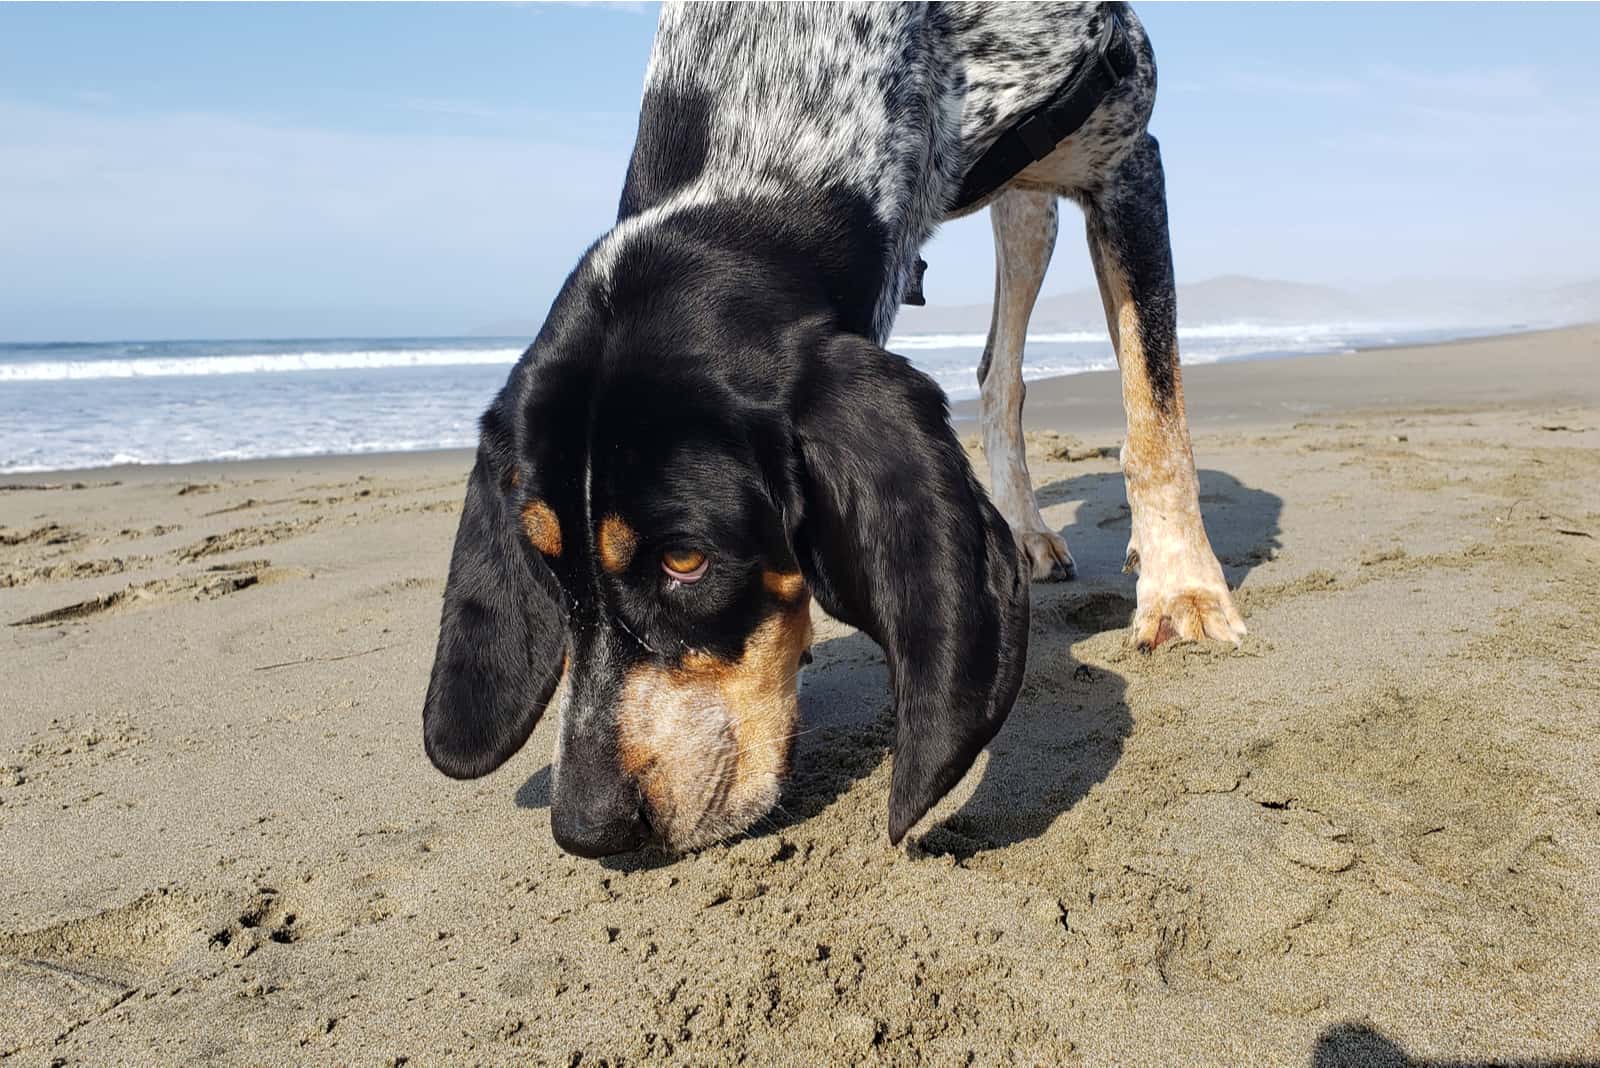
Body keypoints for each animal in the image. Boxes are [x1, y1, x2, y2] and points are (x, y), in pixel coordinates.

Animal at [419, 2, 1241, 856]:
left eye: (687, 561)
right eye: (547, 565)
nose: (585, 827)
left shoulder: (1126, 164)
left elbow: (1155, 411)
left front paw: (1184, 585)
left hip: (1036, 211)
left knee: (1017, 367)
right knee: (998, 374)